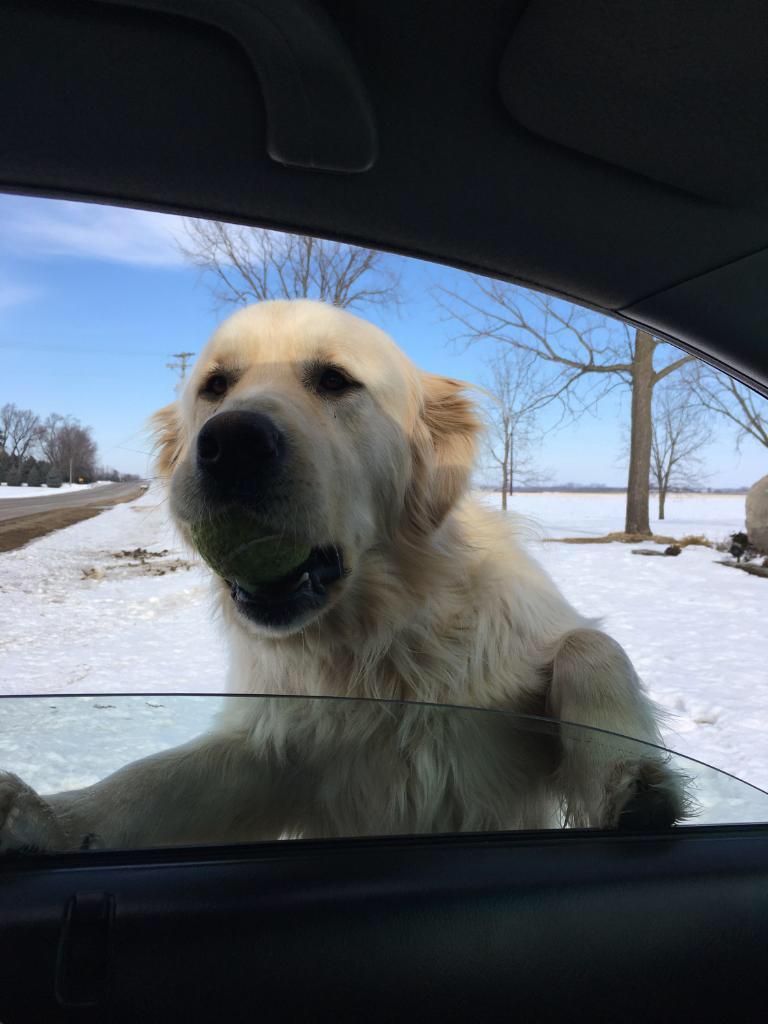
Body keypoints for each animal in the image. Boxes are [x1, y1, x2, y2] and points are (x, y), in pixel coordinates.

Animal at [0, 299, 684, 851]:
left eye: (335, 380)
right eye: (215, 385)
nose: (232, 444)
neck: (375, 648)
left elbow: (589, 645)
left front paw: (629, 779)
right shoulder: (279, 754)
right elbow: (150, 782)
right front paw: (44, 817)